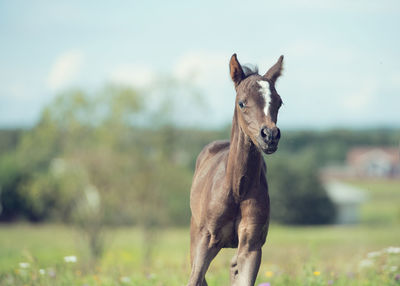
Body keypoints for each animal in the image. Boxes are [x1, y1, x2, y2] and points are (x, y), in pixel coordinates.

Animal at [188, 52, 284, 284]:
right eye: (242, 103)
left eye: (279, 102)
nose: (270, 135)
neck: (236, 189)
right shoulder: (205, 240)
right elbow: (195, 278)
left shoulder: (251, 245)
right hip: (195, 233)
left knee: (233, 267)